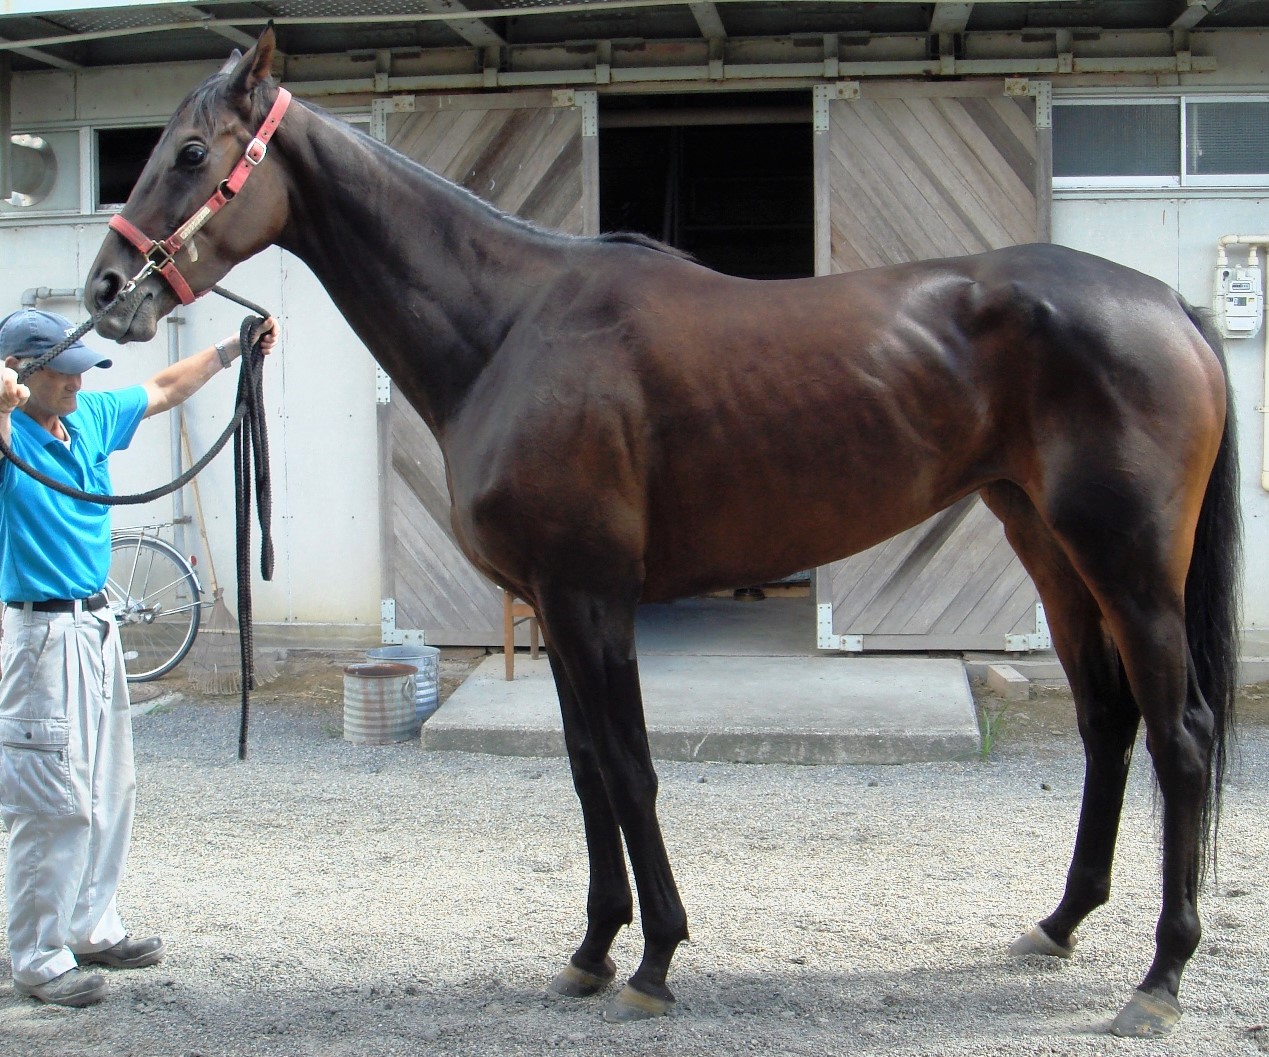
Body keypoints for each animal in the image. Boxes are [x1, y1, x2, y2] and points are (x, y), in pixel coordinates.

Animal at [84, 27, 1240, 1037]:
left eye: (191, 152)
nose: (104, 290)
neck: (512, 327)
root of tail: (1168, 308)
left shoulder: (592, 596)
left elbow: (632, 768)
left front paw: (654, 960)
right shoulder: (553, 605)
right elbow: (587, 768)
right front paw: (593, 951)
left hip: (1132, 568)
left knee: (1180, 735)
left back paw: (1159, 979)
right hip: (1049, 548)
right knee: (1107, 721)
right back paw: (1059, 923)